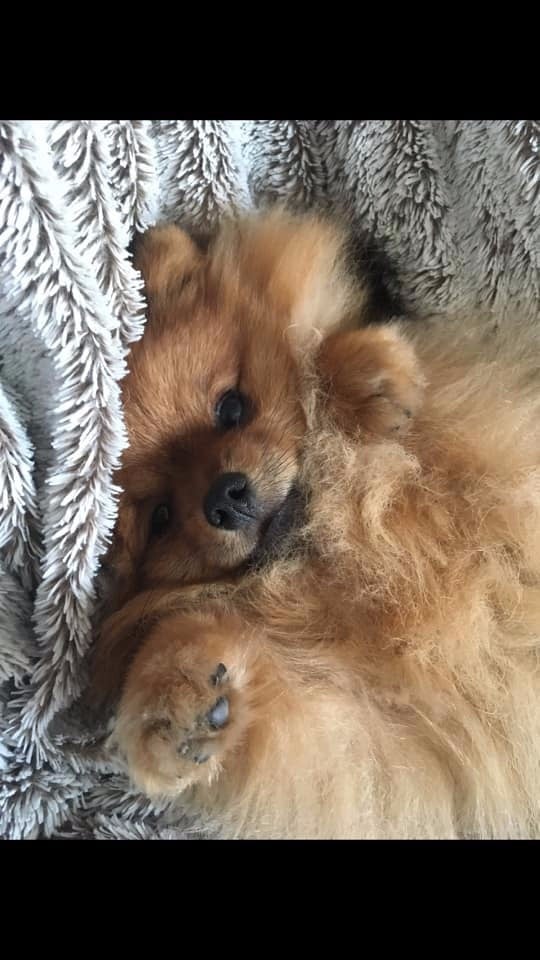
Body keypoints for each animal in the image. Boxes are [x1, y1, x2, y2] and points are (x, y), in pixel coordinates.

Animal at [90, 210, 540, 839]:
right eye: (160, 518)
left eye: (231, 408)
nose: (224, 497)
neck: (317, 546)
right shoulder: (358, 721)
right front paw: (172, 702)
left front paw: (367, 379)